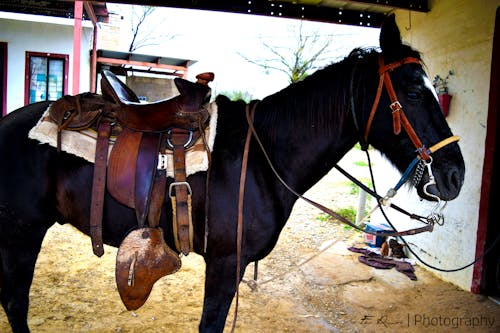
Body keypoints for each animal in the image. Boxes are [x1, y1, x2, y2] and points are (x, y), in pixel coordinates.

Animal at [0, 15, 464, 332]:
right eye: (413, 91)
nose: (455, 174)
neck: (262, 157)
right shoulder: (225, 264)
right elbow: (211, 323)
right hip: (22, 235)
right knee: (15, 302)